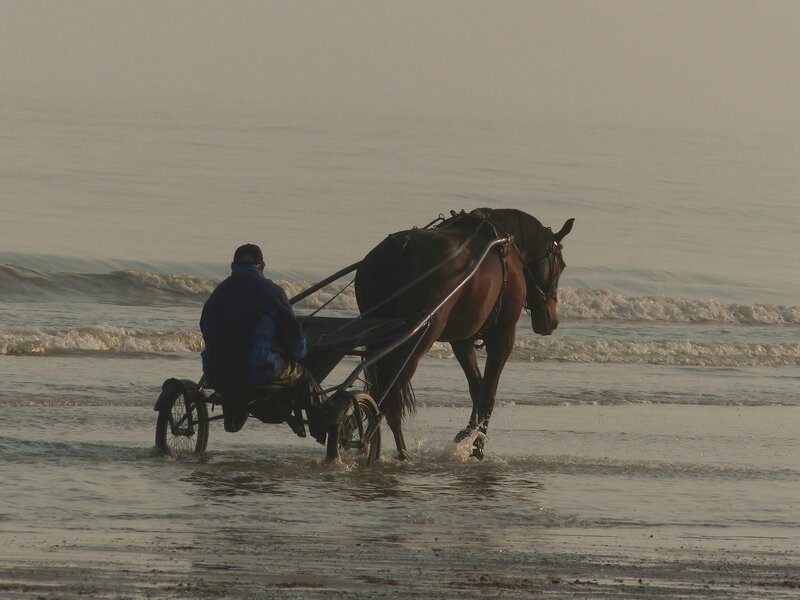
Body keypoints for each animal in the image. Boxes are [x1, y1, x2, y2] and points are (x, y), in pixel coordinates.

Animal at [354, 207, 572, 460]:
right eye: (561, 265)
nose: (553, 321)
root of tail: (397, 252)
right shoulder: (502, 337)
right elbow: (487, 394)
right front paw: (478, 444)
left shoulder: (462, 341)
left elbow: (477, 389)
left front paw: (467, 434)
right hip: (419, 339)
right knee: (390, 394)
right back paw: (393, 449)